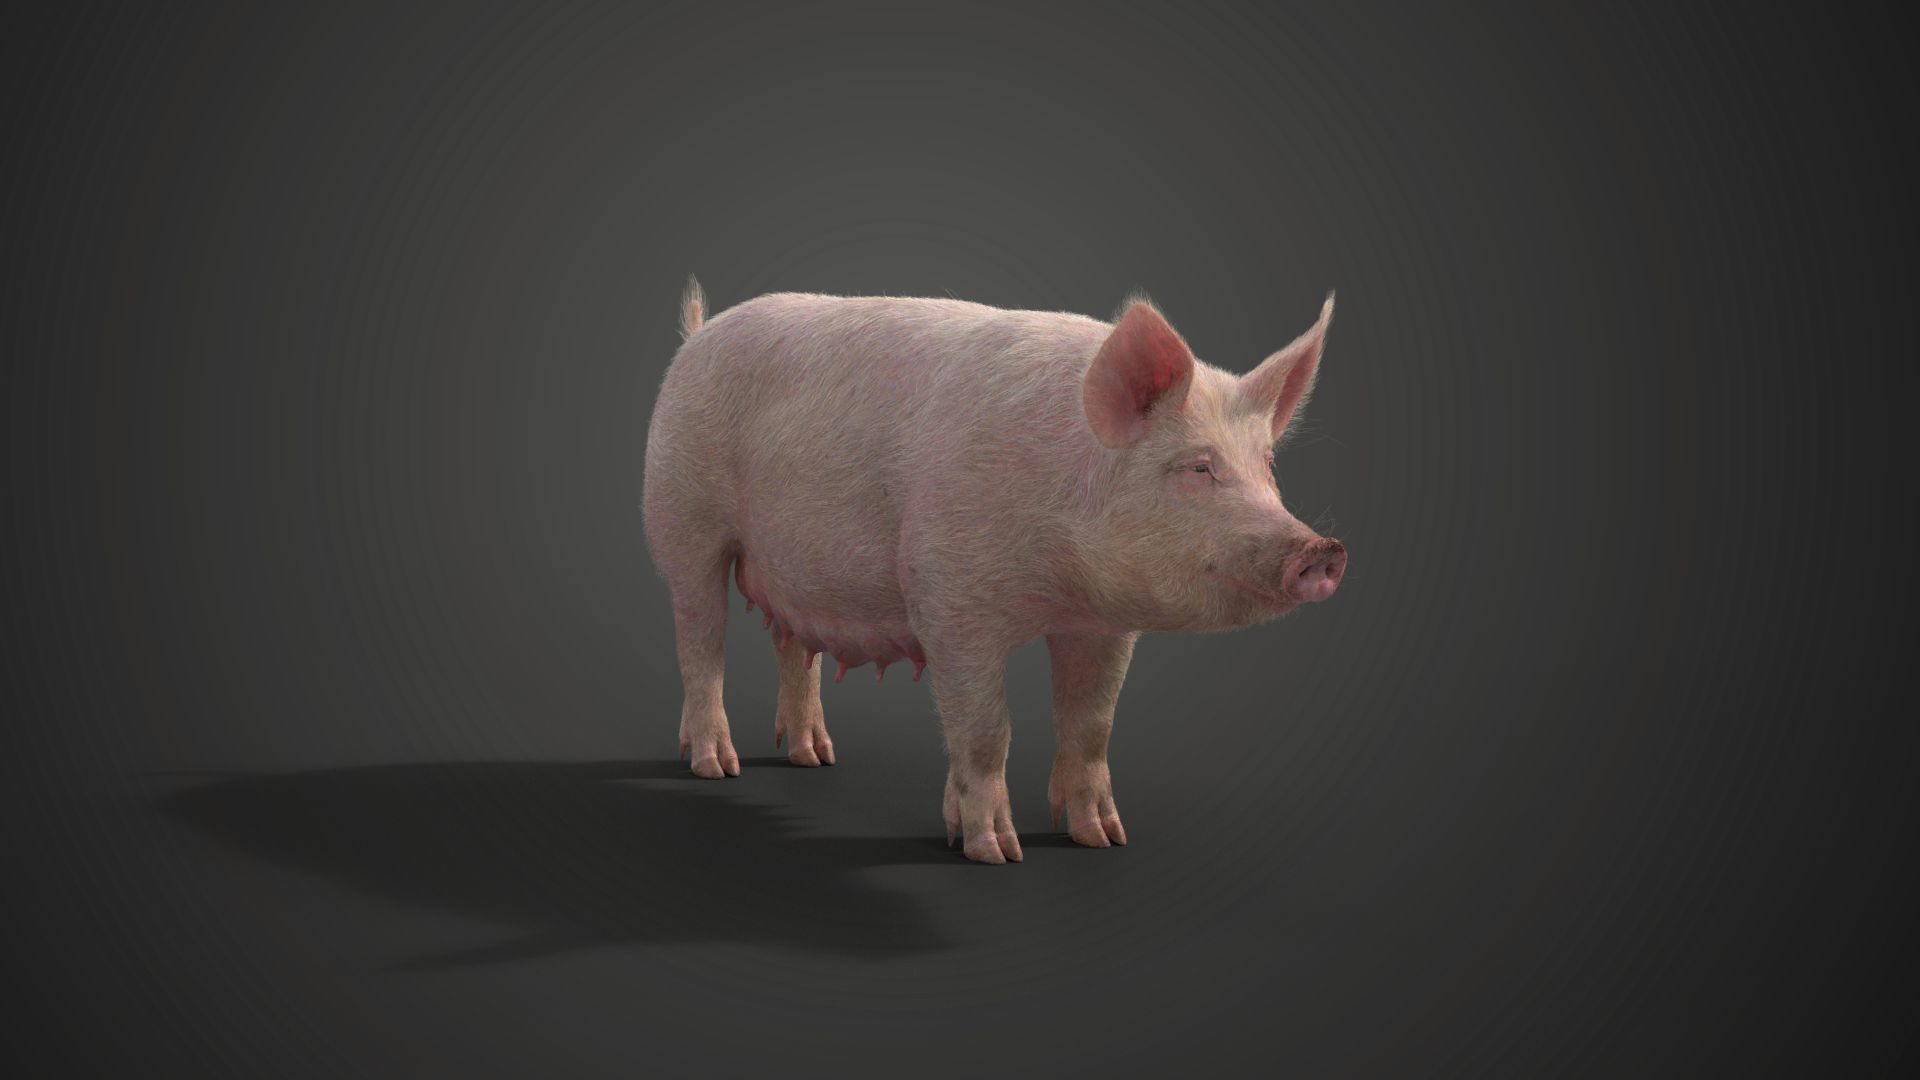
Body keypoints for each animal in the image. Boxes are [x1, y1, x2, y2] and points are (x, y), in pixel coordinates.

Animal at [642, 277, 1346, 864]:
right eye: (1198, 467)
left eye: (1268, 465)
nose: (1323, 550)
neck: (1057, 579)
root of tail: (697, 336)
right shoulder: (948, 598)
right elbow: (985, 730)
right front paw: (996, 853)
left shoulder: (1104, 625)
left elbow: (1092, 725)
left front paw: (1105, 839)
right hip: (681, 517)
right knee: (699, 639)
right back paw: (717, 766)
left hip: (792, 567)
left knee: (793, 644)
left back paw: (815, 758)